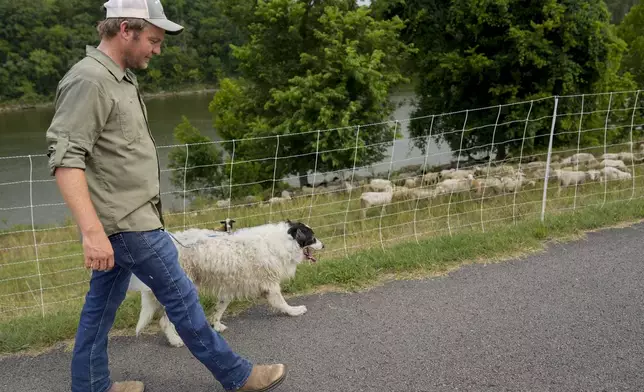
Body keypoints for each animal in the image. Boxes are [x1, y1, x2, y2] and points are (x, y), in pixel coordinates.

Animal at [128, 220, 322, 346]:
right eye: (313, 237)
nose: (324, 245)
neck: (284, 241)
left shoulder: (228, 287)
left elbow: (219, 309)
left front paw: (216, 325)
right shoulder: (270, 285)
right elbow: (281, 302)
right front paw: (294, 311)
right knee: (164, 321)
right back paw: (175, 340)